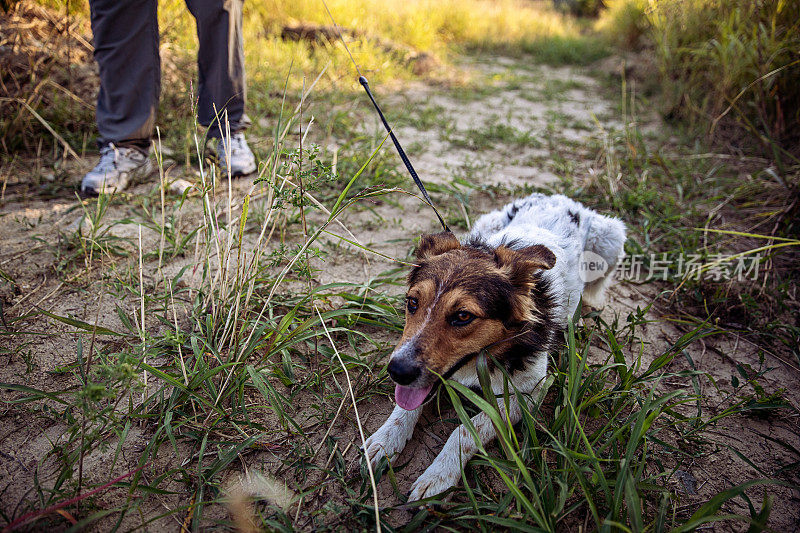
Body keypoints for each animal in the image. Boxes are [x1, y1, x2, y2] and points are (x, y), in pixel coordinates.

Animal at [362, 193, 624, 500]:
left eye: (463, 316)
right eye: (412, 303)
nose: (397, 372)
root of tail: (556, 197)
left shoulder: (528, 393)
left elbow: (466, 430)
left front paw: (438, 476)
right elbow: (405, 407)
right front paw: (385, 440)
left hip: (612, 239)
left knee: (597, 286)